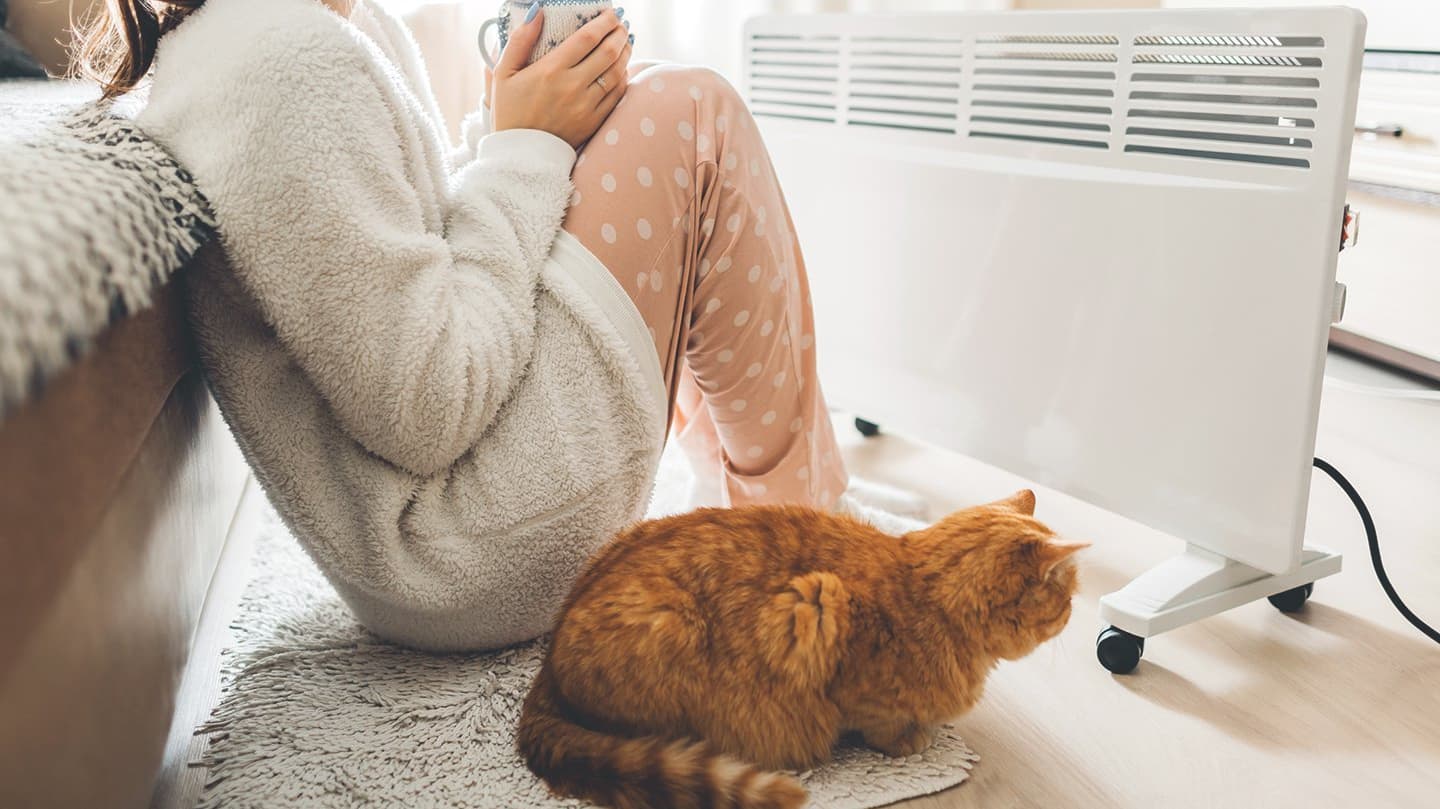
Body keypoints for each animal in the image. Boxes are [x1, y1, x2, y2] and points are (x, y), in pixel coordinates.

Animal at [515, 489, 1082, 800]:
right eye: (1068, 595)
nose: (1076, 612)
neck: (925, 593)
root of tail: (546, 670)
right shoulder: (819, 610)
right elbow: (881, 723)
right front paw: (911, 740)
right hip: (671, 629)